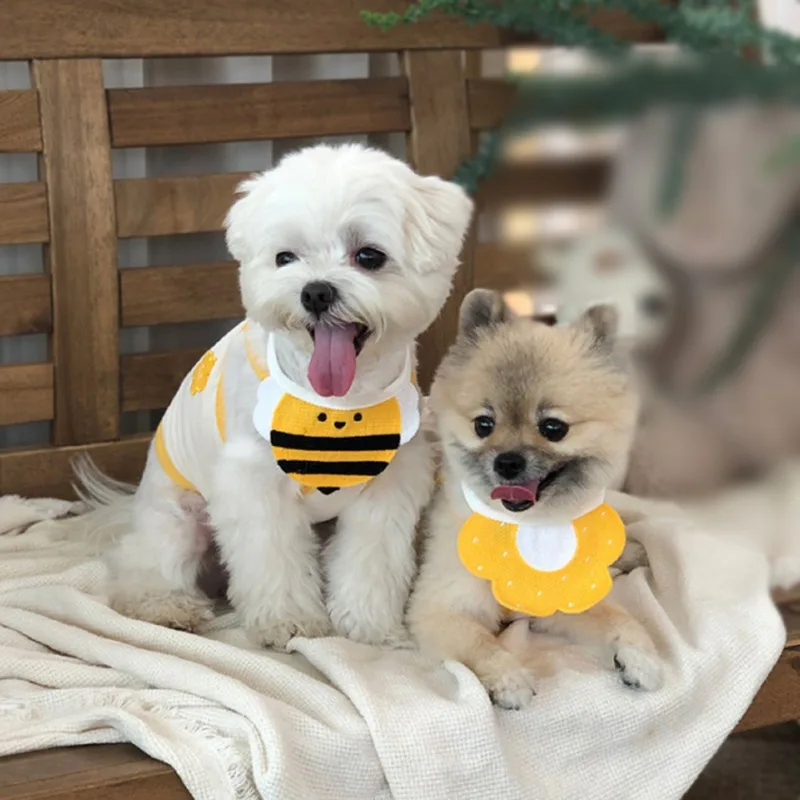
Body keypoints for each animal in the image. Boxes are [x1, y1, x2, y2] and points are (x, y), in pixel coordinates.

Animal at [90, 145, 472, 648]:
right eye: (285, 257)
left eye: (369, 255)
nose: (316, 291)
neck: (339, 403)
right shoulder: (255, 484)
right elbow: (273, 555)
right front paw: (288, 621)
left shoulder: (388, 483)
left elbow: (370, 558)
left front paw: (368, 625)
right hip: (179, 516)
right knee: (147, 564)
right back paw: (166, 606)